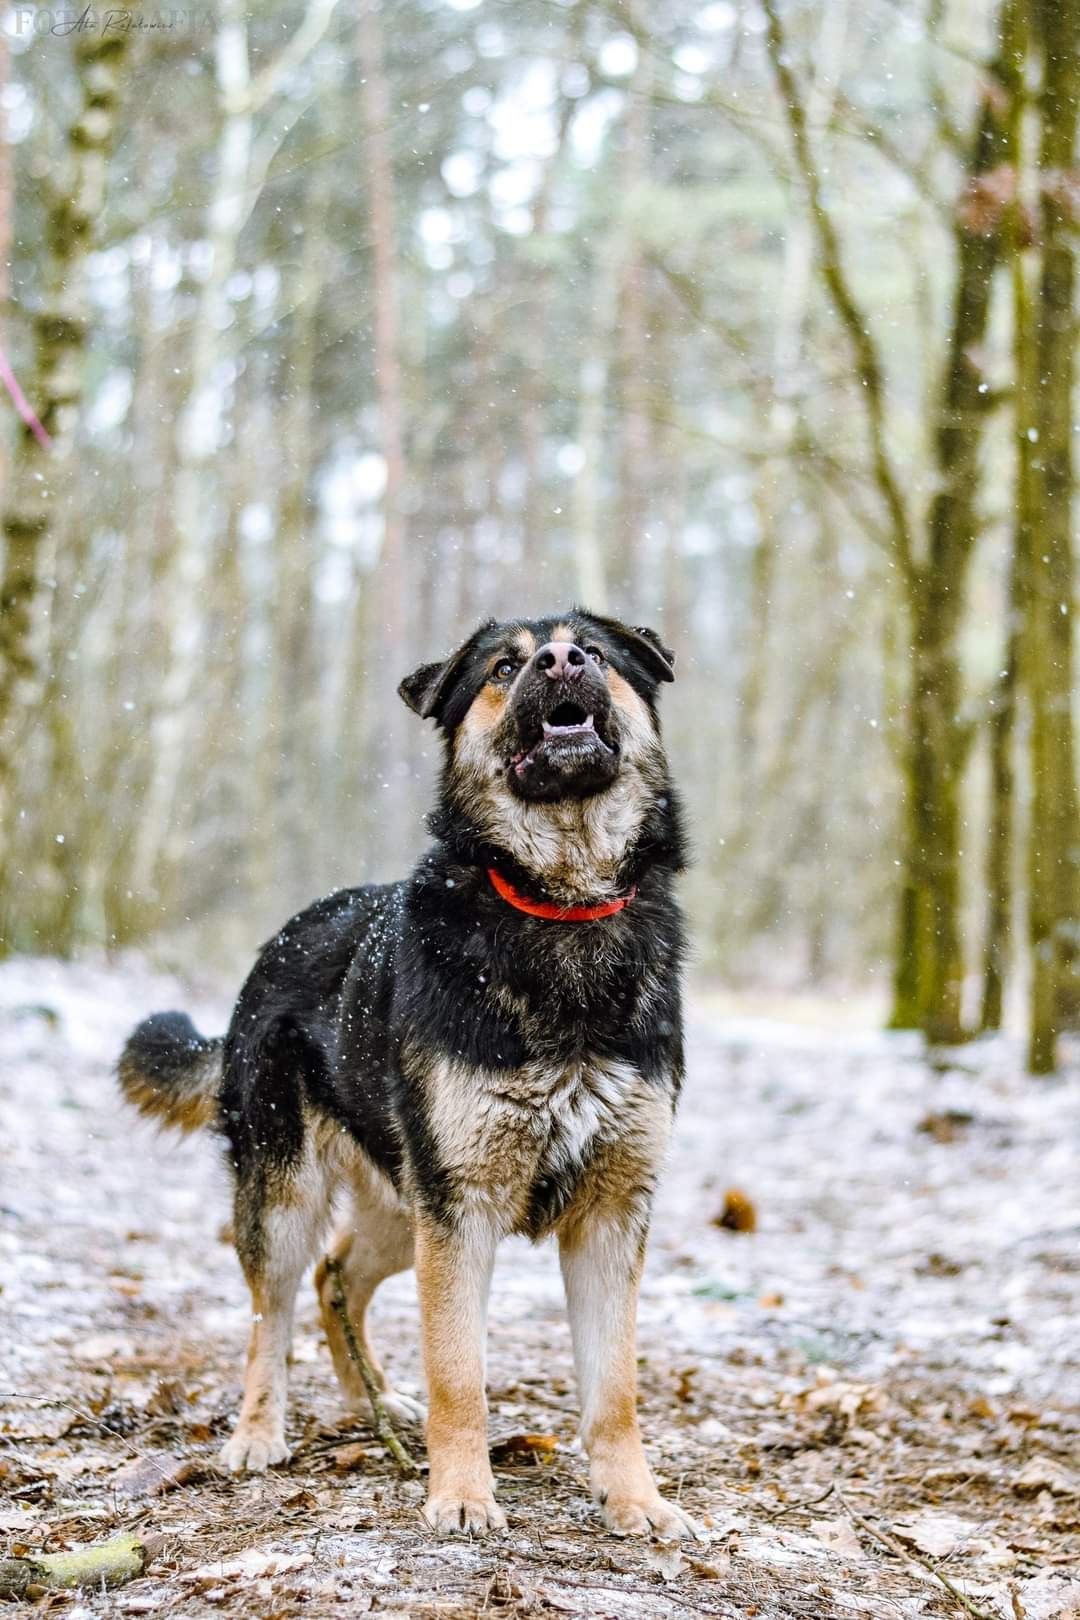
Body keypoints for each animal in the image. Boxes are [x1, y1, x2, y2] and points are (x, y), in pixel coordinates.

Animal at [116, 605, 693, 1529]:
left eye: (597, 654)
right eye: (504, 669)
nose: (564, 661)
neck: (559, 903)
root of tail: (275, 947)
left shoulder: (610, 1214)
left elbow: (616, 1389)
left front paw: (634, 1500)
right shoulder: (462, 1210)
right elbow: (458, 1371)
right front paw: (461, 1495)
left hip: (401, 1203)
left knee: (336, 1278)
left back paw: (375, 1401)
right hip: (293, 1198)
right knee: (272, 1310)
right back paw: (258, 1432)